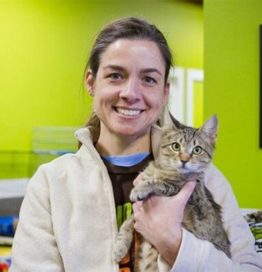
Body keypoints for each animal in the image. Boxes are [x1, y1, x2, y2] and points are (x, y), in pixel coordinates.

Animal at [113, 112, 230, 270]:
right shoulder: (137, 213)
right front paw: (119, 247)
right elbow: (127, 223)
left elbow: (160, 183)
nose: (184, 160)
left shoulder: (186, 192)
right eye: (176, 146)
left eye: (197, 150)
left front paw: (141, 188)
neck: (163, 170)